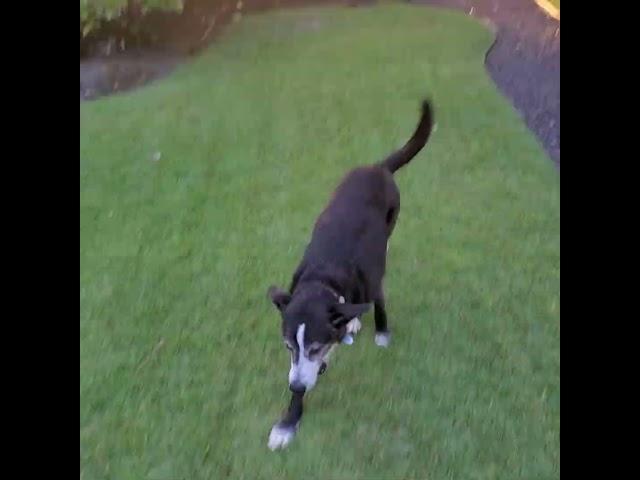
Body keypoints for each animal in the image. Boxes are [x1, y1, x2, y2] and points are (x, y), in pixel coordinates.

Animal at [264, 98, 436, 450]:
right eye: (288, 347)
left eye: (316, 347)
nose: (295, 386)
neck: (323, 279)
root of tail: (377, 167)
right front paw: (288, 422)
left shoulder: (373, 282)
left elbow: (379, 304)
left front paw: (382, 333)